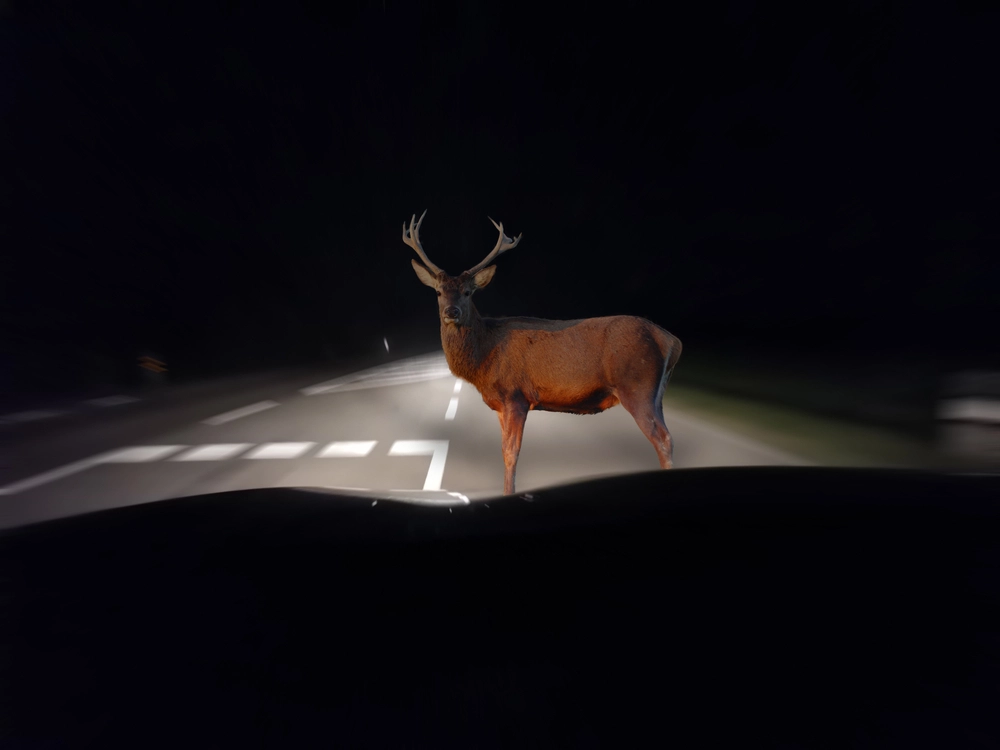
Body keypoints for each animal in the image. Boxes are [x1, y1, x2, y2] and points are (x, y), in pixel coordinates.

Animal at [404, 210, 682, 495]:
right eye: (439, 292)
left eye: (468, 292)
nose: (452, 312)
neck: (484, 357)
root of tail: (671, 341)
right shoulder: (500, 404)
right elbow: (503, 450)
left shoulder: (516, 395)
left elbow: (511, 453)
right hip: (656, 393)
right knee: (668, 437)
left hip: (637, 385)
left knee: (663, 439)